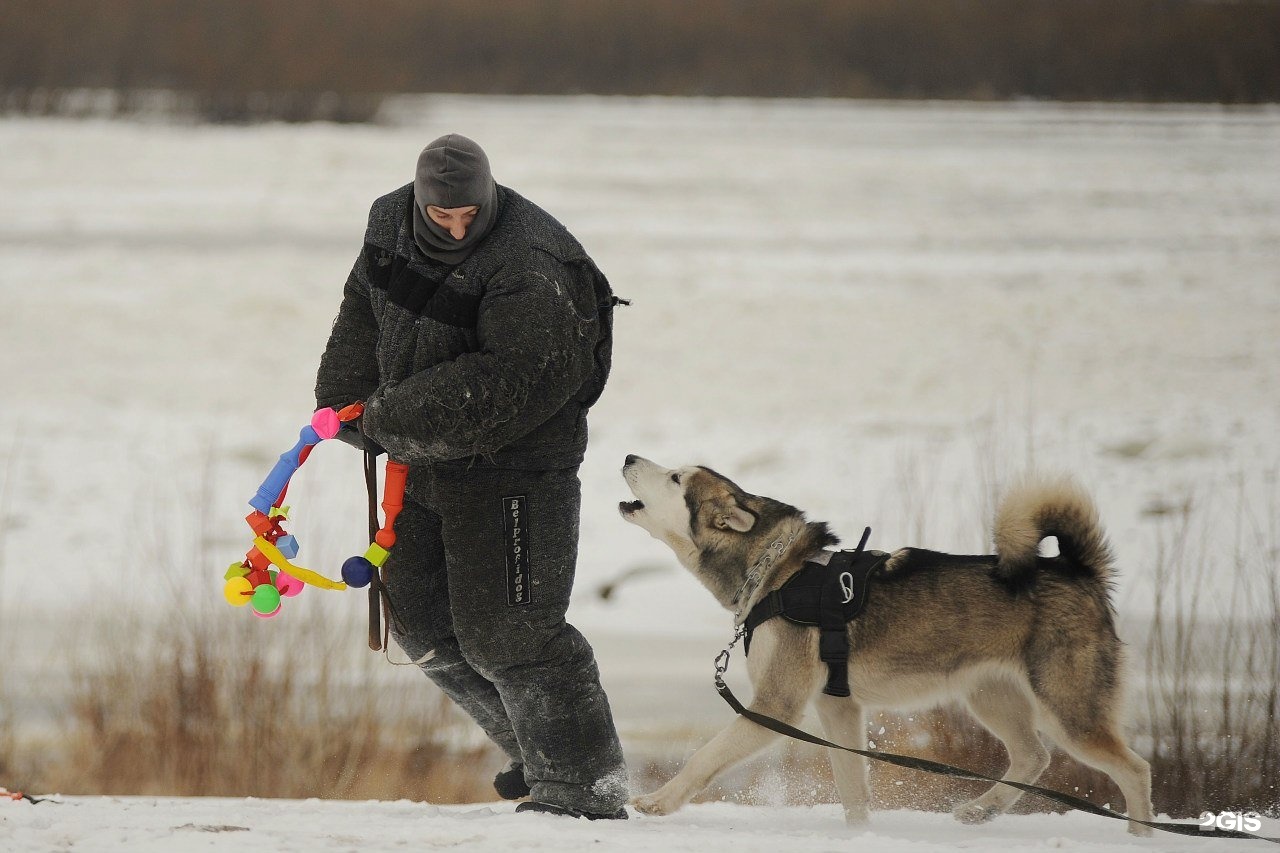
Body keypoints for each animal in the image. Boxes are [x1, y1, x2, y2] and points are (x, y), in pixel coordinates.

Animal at [614, 455, 1157, 835]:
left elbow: (704, 757)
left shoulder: (776, 706)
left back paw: (1139, 837)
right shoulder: (838, 707)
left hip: (1069, 712)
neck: (776, 575)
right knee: (1033, 758)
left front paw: (657, 802)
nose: (628, 456)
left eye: (676, 479)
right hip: (990, 697)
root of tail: (1077, 571)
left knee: (1135, 769)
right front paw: (859, 838)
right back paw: (981, 811)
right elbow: (854, 788)